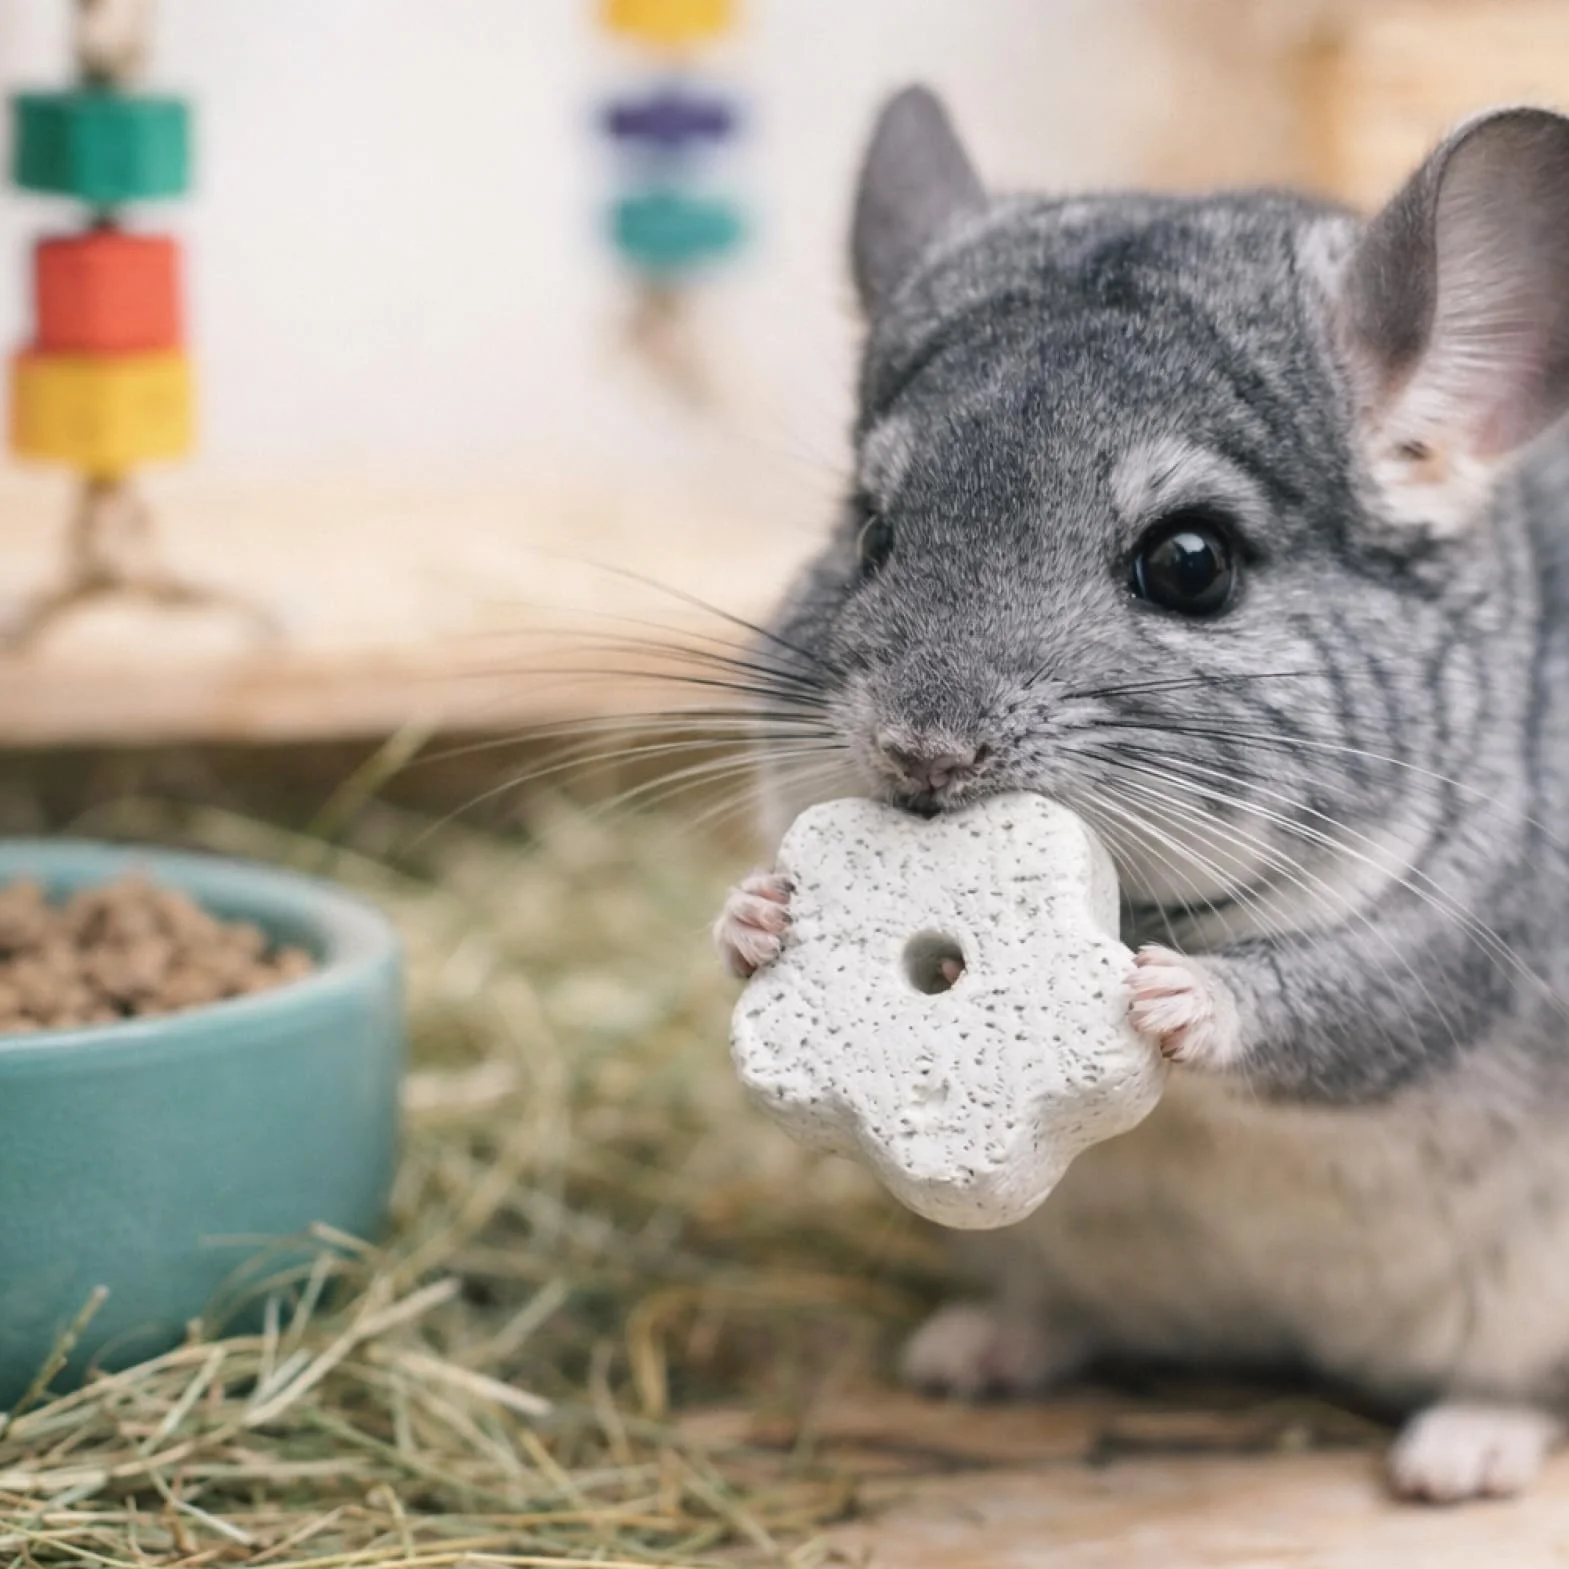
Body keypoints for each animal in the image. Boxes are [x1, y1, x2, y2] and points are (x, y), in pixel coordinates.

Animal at [713, 88, 1569, 1503]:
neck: (1163, 904)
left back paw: (1466, 1448)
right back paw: (981, 1348)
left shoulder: (1463, 946)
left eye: (1190, 563)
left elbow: (1333, 1006)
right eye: (873, 531)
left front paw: (1173, 999)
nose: (919, 753)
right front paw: (756, 917)